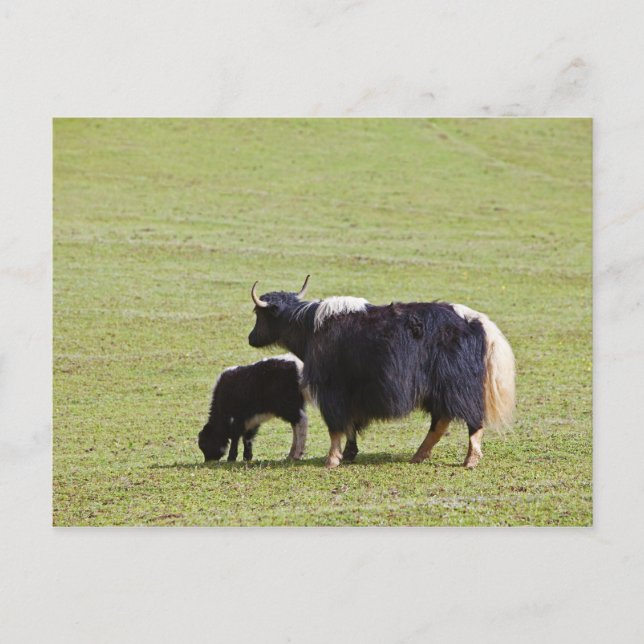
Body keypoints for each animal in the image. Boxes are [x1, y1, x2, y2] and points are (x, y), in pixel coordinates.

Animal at [247, 275, 515, 469]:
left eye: (257, 313)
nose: (251, 338)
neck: (309, 327)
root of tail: (476, 320)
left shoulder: (331, 389)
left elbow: (335, 425)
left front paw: (332, 459)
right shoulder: (351, 393)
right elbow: (350, 424)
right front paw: (349, 453)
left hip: (458, 385)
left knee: (471, 419)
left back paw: (470, 460)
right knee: (441, 421)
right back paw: (419, 455)